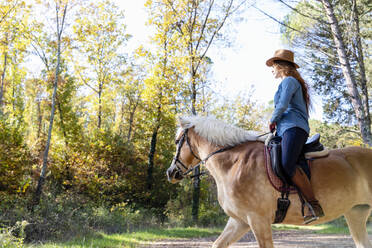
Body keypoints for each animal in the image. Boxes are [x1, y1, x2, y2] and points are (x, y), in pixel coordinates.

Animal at [167, 116, 372, 248]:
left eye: (177, 141)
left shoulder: (258, 220)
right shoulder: (239, 221)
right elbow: (217, 244)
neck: (234, 163)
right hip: (356, 213)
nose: (171, 173)